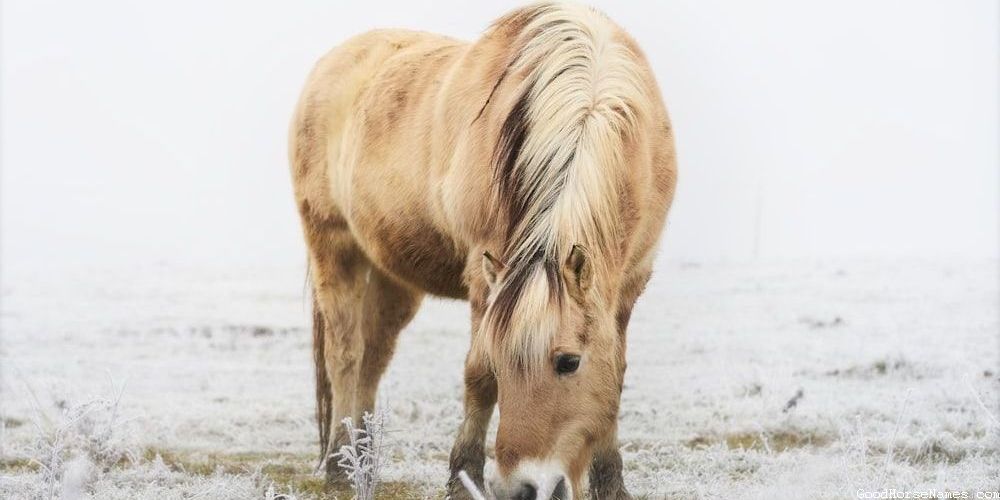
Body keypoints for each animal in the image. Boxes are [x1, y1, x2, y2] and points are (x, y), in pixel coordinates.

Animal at [288, 2, 676, 498]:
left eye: (568, 362)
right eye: (501, 362)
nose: (521, 489)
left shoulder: (629, 282)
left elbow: (616, 373)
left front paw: (611, 484)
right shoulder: (483, 270)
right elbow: (478, 377)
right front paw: (463, 477)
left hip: (393, 278)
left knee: (372, 358)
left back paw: (364, 463)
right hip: (334, 247)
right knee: (345, 355)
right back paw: (341, 465)